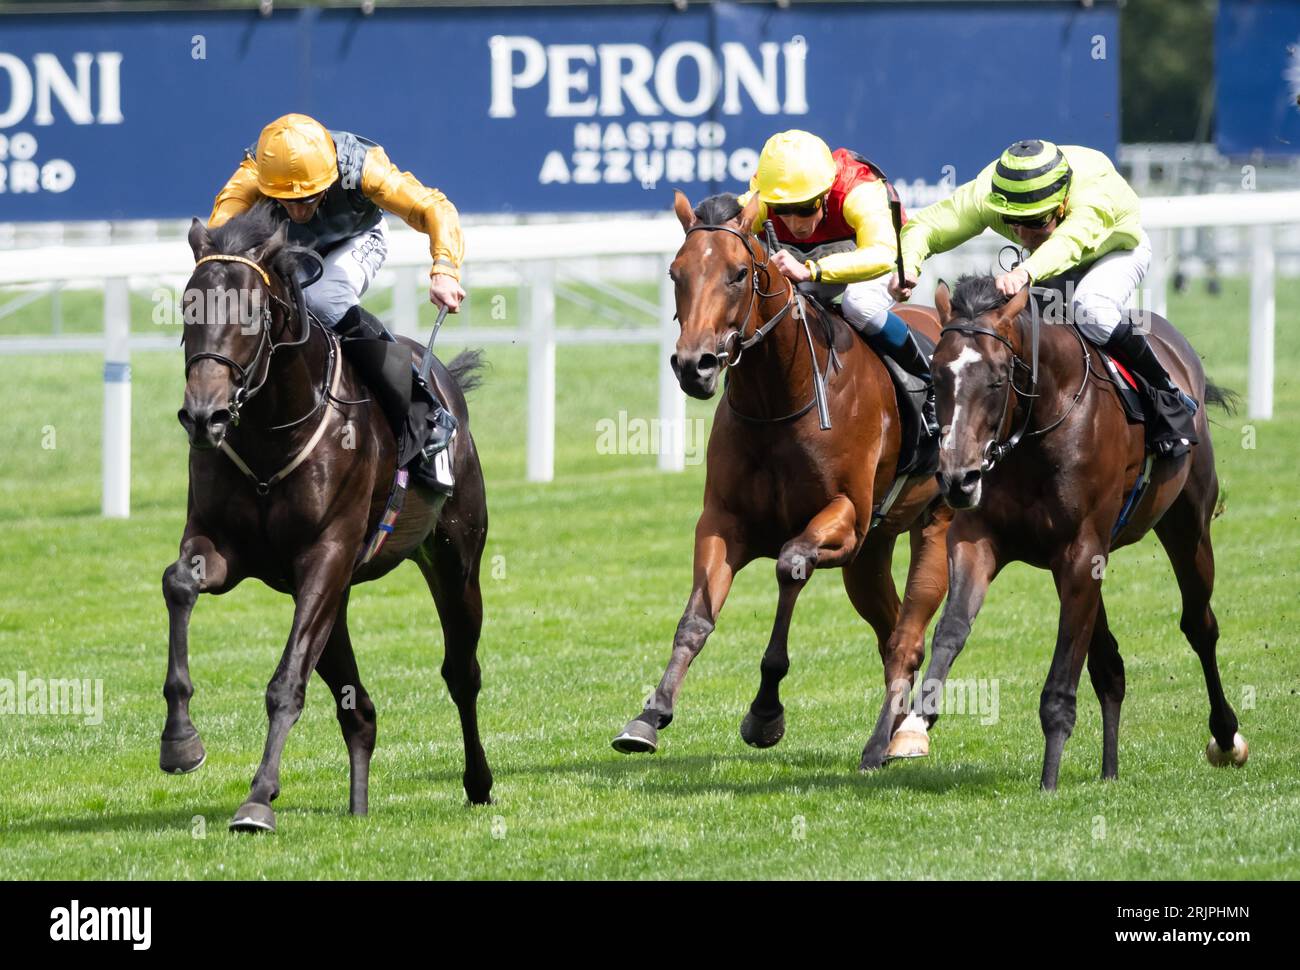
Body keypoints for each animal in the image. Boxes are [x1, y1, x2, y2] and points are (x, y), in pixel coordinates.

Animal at [162, 208, 488, 826]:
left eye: (251, 313)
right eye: (188, 307)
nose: (203, 416)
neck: (272, 431)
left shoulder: (326, 554)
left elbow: (286, 683)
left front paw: (258, 798)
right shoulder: (227, 547)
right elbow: (179, 584)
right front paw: (181, 741)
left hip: (454, 558)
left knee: (462, 673)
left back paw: (479, 782)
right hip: (334, 598)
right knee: (360, 710)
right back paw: (359, 808)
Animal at [608, 187, 956, 764]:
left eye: (736, 273)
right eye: (676, 272)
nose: (694, 365)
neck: (779, 398)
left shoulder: (843, 519)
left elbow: (790, 566)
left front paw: (765, 712)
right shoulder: (724, 521)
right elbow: (695, 619)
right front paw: (649, 715)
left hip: (934, 522)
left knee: (908, 637)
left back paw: (889, 740)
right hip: (871, 552)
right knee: (890, 632)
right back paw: (898, 727)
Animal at [904, 274, 1248, 785]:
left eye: (997, 379)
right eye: (937, 378)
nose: (957, 480)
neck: (1036, 431)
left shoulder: (1081, 552)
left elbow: (1062, 675)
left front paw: (1049, 781)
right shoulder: (979, 538)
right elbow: (952, 628)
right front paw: (912, 723)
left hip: (1187, 523)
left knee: (1199, 625)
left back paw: (1225, 737)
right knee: (1110, 665)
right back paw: (1110, 771)